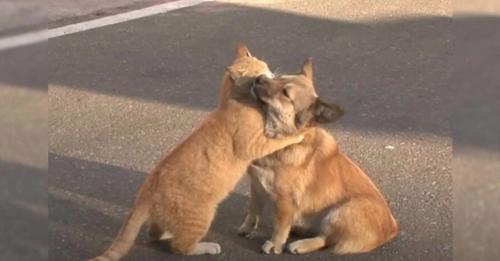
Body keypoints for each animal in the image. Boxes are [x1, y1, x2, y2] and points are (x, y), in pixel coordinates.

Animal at [87, 43, 302, 258]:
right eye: (260, 75)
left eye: (267, 68)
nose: (272, 76)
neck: (231, 101)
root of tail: (145, 192)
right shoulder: (254, 144)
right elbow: (279, 140)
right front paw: (297, 134)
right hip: (202, 216)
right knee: (180, 247)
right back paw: (207, 247)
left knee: (154, 233)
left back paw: (167, 234)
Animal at [238, 59, 398, 254]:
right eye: (279, 77)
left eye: (285, 94)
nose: (259, 78)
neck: (283, 142)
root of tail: (392, 229)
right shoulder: (257, 187)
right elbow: (253, 210)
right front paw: (247, 227)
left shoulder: (285, 200)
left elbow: (280, 226)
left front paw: (275, 244)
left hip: (341, 211)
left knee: (326, 239)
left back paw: (302, 244)